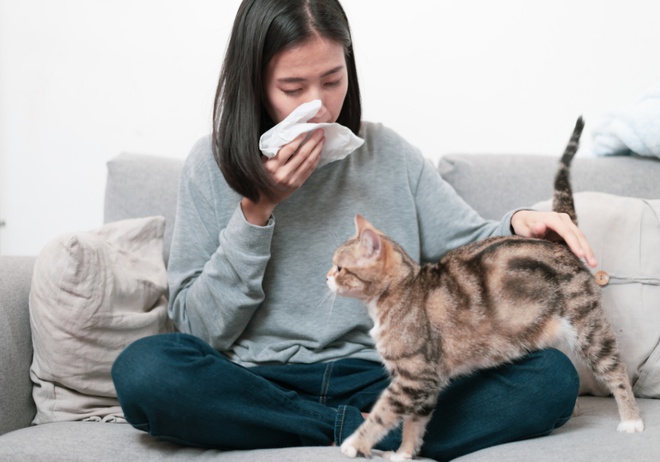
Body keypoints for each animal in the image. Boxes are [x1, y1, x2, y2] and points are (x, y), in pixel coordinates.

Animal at [328, 118, 640, 458]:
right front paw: (404, 454)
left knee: (616, 369)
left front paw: (354, 444)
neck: (400, 293)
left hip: (588, 327)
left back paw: (632, 420)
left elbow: (383, 414)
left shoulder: (414, 376)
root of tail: (557, 242)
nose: (327, 276)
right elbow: (415, 423)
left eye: (340, 267)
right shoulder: (426, 383)